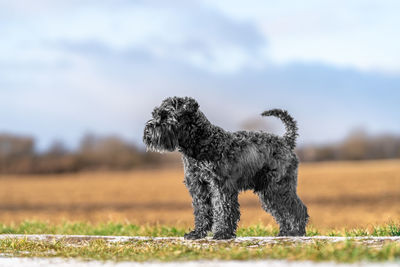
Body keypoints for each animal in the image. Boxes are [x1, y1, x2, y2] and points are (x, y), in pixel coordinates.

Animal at [144, 96, 310, 241]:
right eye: (155, 114)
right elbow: (201, 210)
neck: (201, 143)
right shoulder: (198, 186)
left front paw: (222, 234)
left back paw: (296, 232)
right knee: (282, 211)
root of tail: (285, 141)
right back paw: (285, 232)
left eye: (166, 115)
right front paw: (197, 233)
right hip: (268, 191)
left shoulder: (220, 185)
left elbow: (222, 208)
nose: (147, 130)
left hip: (278, 187)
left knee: (297, 208)